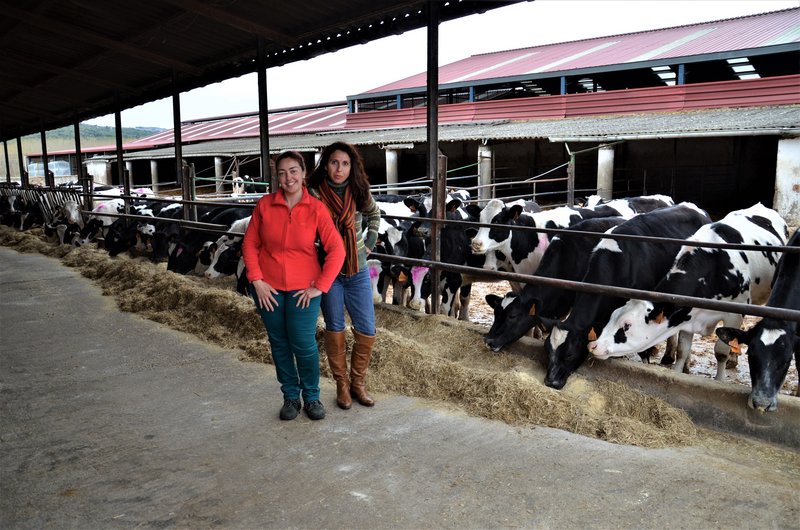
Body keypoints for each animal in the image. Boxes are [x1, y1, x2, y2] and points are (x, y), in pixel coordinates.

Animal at [588, 202, 788, 380]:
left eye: (627, 325)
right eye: (611, 317)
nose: (594, 345)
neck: (713, 267)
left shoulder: (734, 313)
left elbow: (721, 352)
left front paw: (720, 379)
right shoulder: (687, 315)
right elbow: (682, 351)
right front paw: (677, 373)